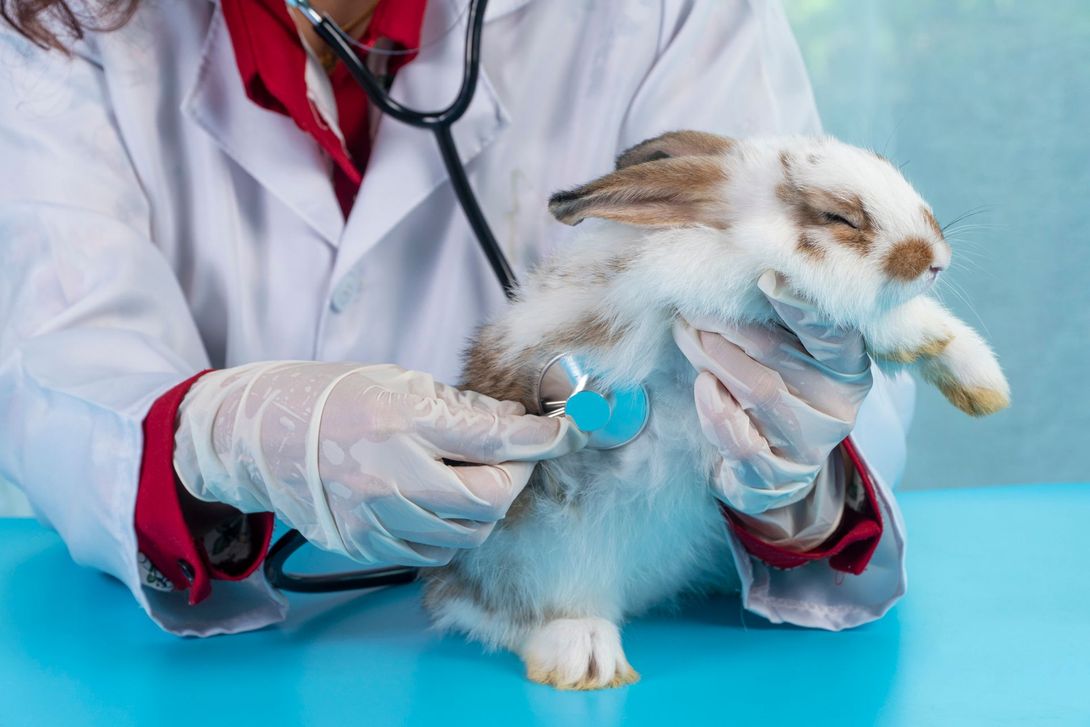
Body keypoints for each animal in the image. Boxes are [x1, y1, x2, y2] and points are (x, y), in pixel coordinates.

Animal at [422, 131, 1010, 690]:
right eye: (838, 218)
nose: (935, 262)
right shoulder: (707, 275)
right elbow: (852, 306)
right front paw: (918, 334)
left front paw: (982, 383)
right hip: (531, 554)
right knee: (514, 615)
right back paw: (586, 658)